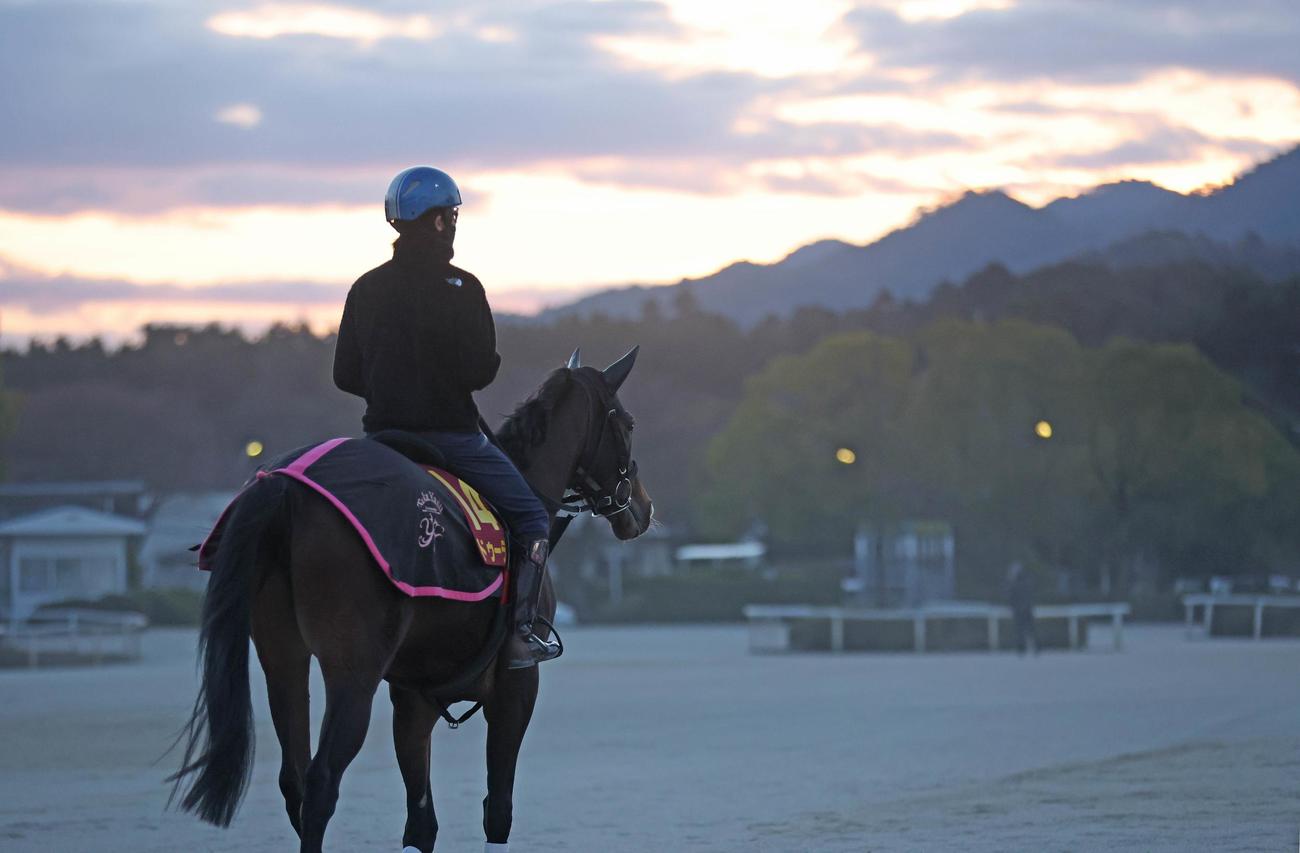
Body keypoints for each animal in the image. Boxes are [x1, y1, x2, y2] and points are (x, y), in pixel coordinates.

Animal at [169, 347, 654, 853]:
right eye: (629, 424)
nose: (642, 506)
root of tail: (284, 485)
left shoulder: (412, 699)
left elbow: (420, 822)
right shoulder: (516, 689)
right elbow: (498, 808)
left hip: (283, 659)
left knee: (295, 780)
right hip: (353, 672)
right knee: (322, 782)